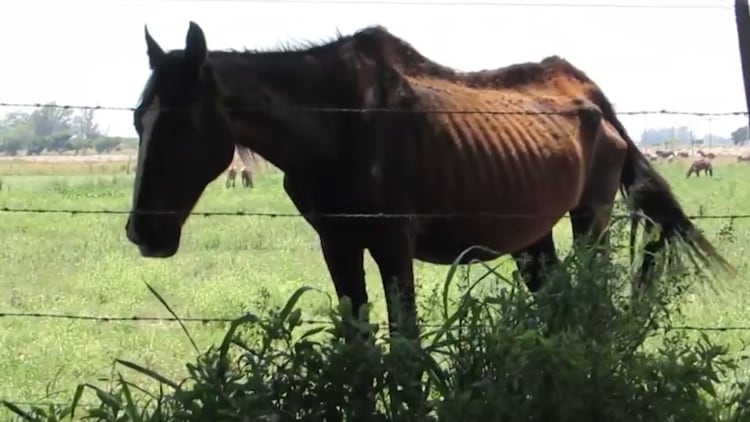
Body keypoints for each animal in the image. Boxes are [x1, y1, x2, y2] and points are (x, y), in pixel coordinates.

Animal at [125, 23, 736, 342]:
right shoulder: (337, 244)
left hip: (591, 218)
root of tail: (589, 95)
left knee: (590, 297)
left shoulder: (393, 246)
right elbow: (359, 342)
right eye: (137, 120)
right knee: (558, 300)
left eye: (185, 123)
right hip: (531, 237)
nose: (143, 233)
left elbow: (406, 344)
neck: (338, 123)